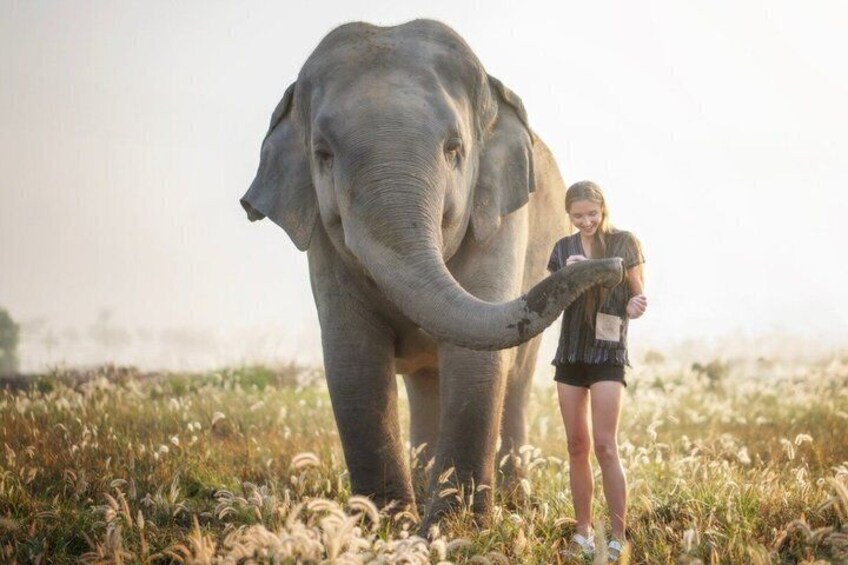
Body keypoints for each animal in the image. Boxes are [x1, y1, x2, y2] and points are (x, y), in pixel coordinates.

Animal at [240, 18, 623, 533]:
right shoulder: (322, 237)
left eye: (454, 149)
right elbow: (353, 356)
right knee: (424, 383)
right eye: (322, 153)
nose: (614, 268)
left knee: (516, 379)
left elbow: (476, 360)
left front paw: (454, 530)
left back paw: (512, 500)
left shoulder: (500, 213)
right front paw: (385, 528)